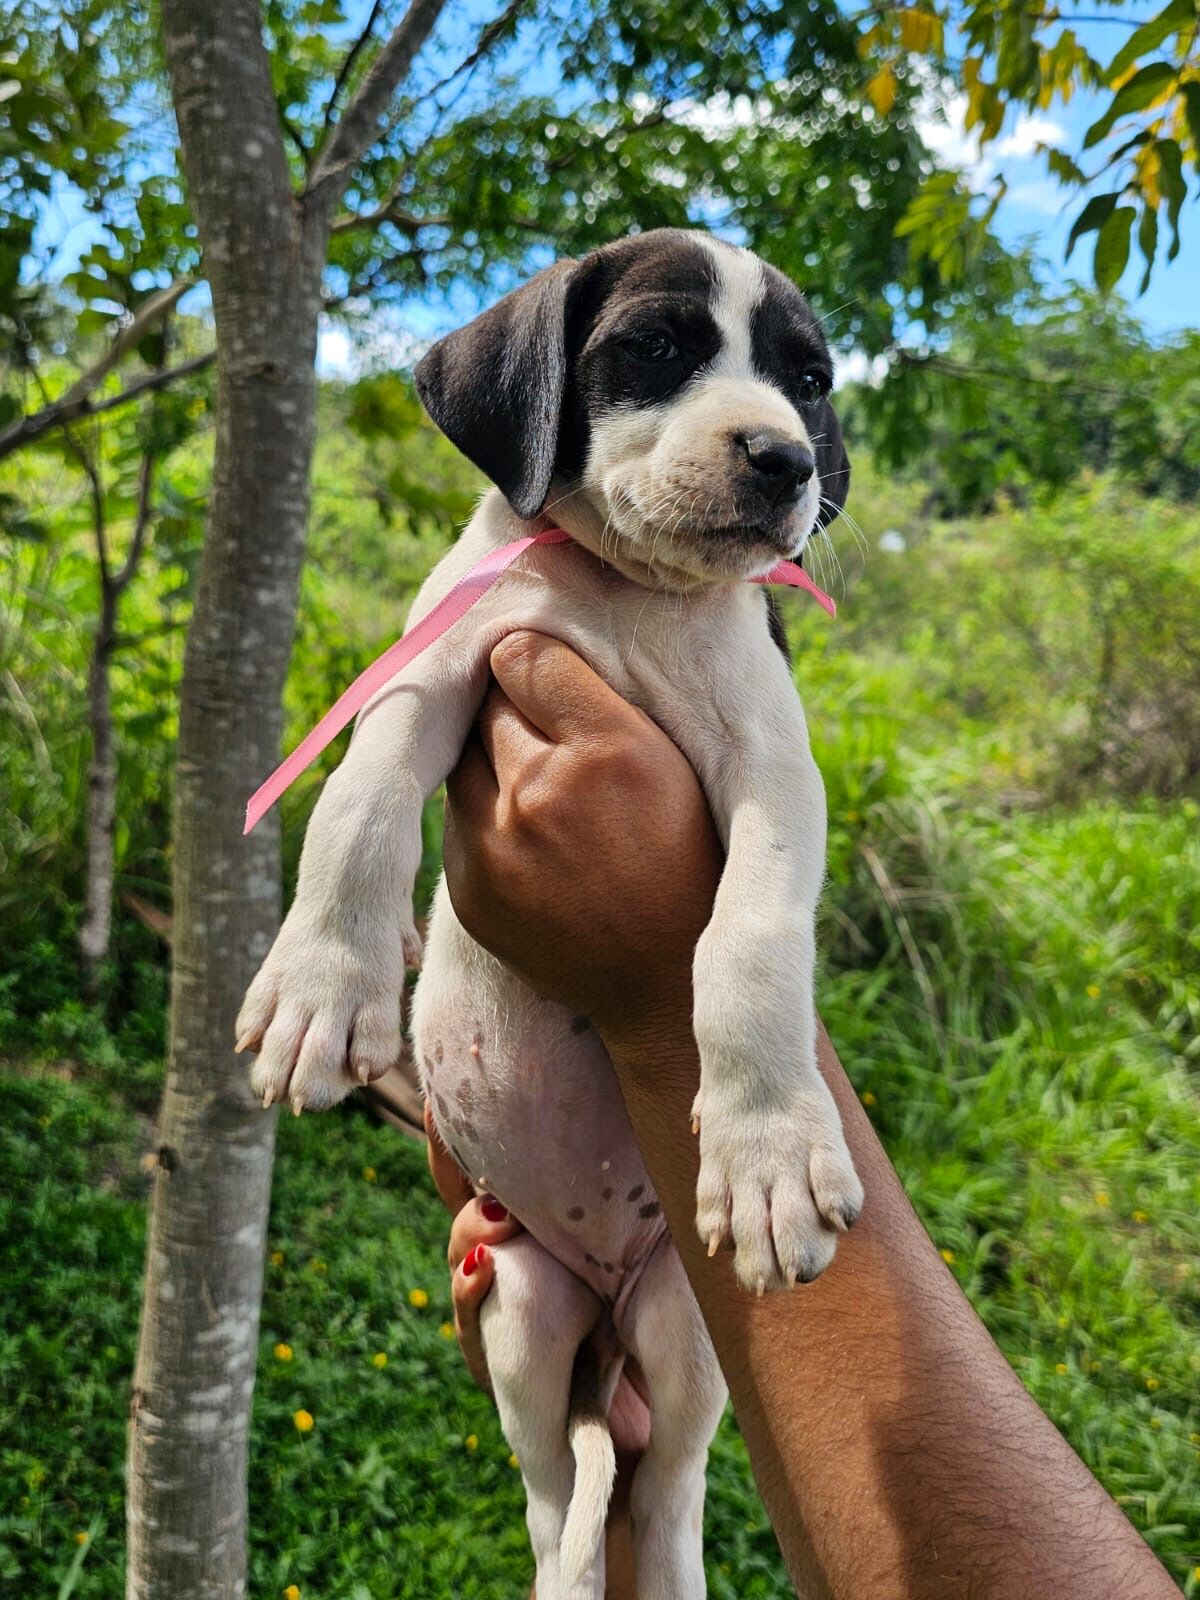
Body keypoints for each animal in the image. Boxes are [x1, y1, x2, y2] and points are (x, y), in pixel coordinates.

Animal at [237, 228, 863, 1599]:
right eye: (659, 347)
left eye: (808, 382)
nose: (785, 459)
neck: (618, 592)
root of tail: (610, 1292)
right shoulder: (431, 669)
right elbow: (356, 803)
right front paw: (323, 983)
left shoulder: (774, 769)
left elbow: (747, 944)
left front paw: (771, 1142)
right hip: (521, 1309)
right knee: (554, 1491)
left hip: (687, 1323)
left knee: (664, 1489)